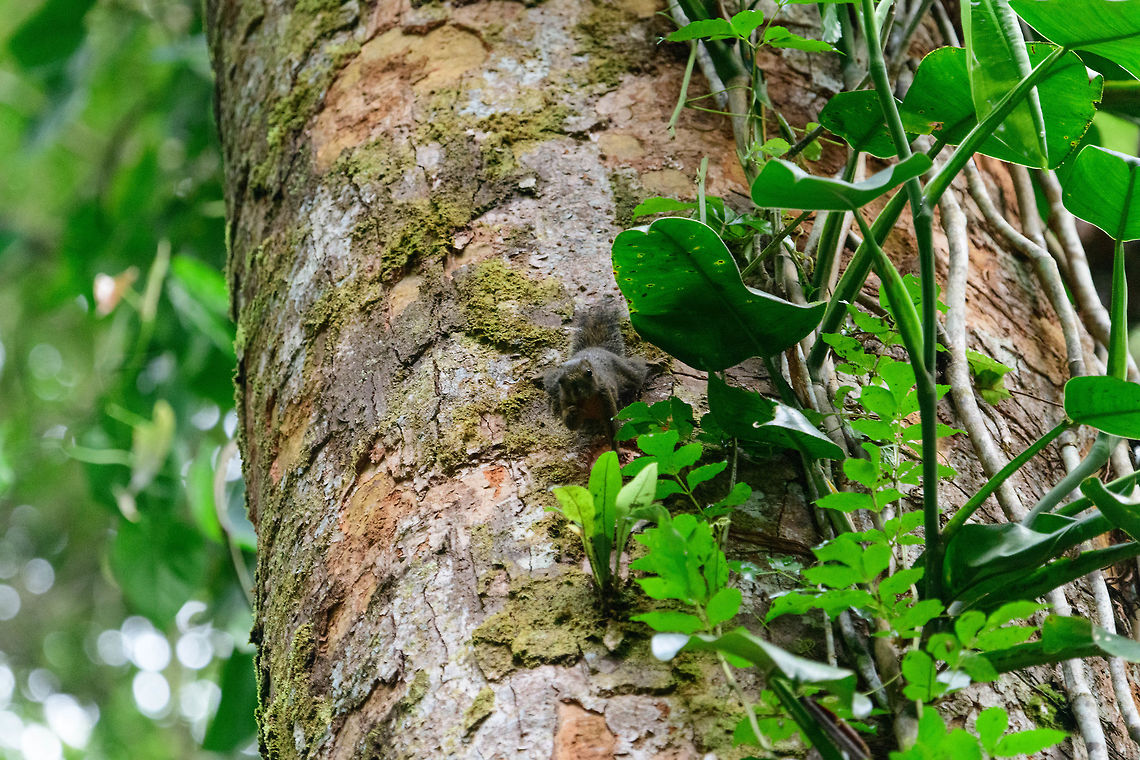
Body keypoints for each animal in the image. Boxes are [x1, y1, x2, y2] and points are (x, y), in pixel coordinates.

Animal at [544, 304, 648, 446]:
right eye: (561, 380)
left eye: (589, 372)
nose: (579, 392)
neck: (587, 401)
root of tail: (595, 348)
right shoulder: (564, 399)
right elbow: (572, 426)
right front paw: (571, 411)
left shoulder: (605, 394)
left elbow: (612, 425)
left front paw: (616, 449)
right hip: (552, 385)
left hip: (625, 370)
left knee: (637, 373)